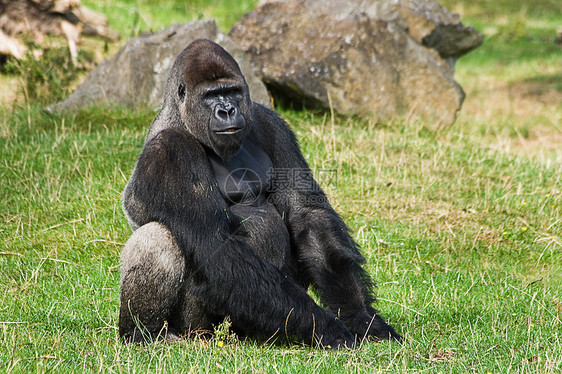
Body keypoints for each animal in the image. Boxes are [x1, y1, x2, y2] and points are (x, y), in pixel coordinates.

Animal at [119, 39, 398, 350]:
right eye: (211, 95)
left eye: (232, 92)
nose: (227, 110)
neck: (181, 119)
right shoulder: (169, 153)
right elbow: (218, 245)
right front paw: (325, 326)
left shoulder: (269, 121)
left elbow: (307, 215)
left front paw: (361, 316)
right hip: (200, 327)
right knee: (158, 237)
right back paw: (144, 333)